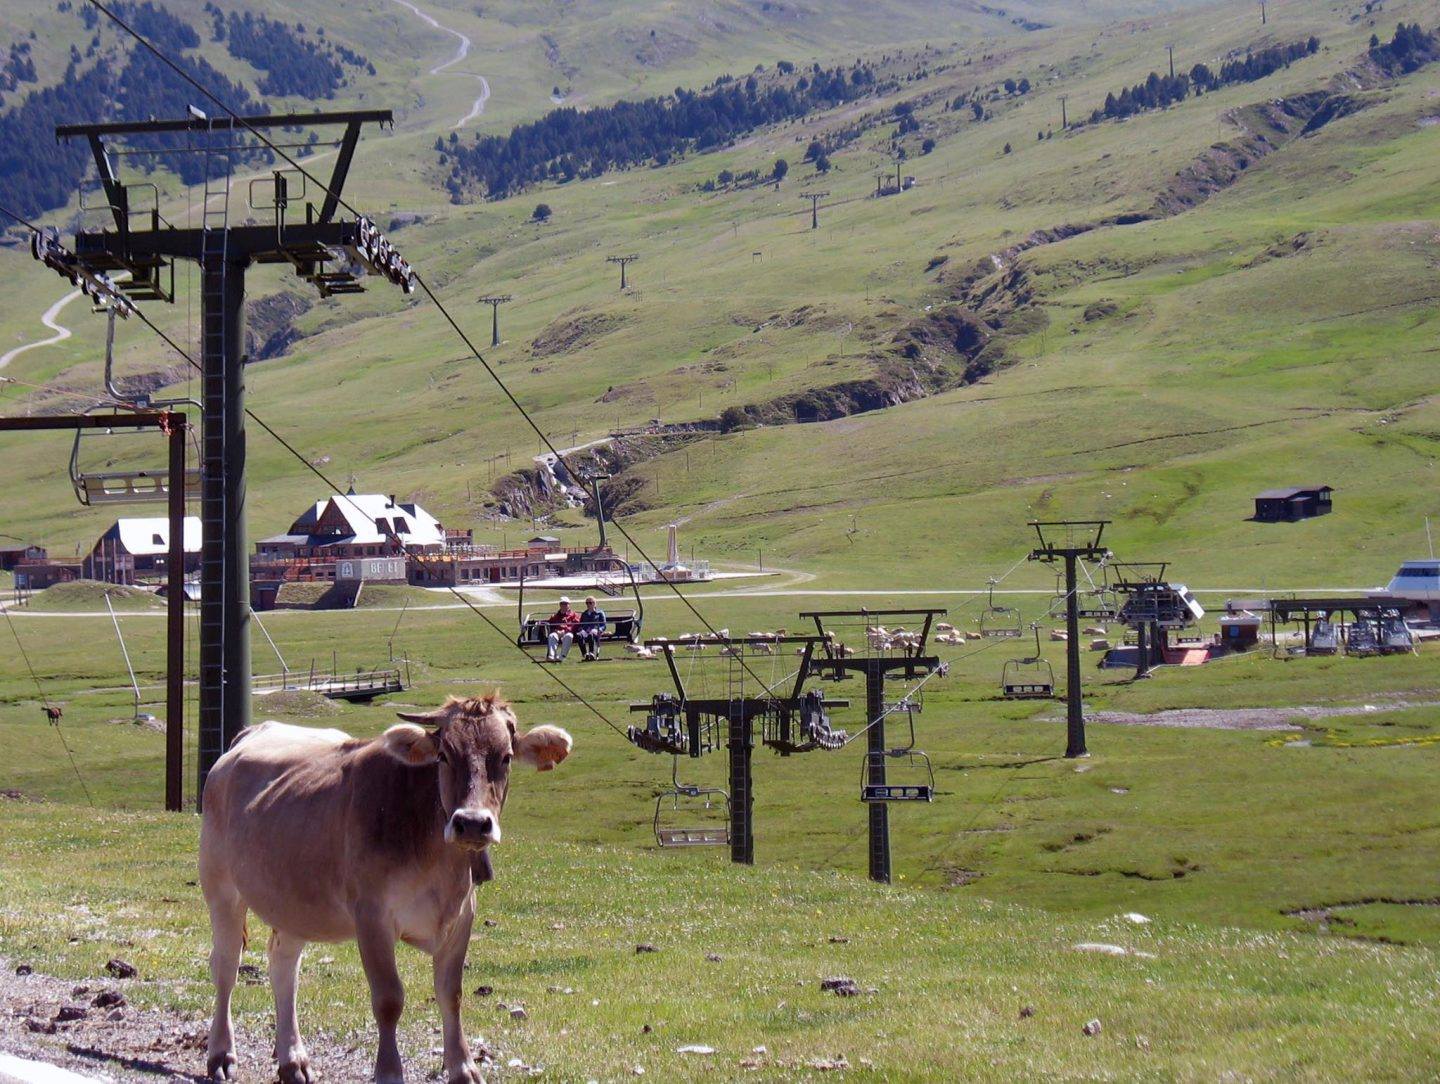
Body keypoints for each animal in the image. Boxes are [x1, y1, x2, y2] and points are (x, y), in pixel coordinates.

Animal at [203, 696, 573, 1076]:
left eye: (506, 757)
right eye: (444, 755)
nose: (471, 823)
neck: (437, 863)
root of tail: (251, 733)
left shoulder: (461, 917)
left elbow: (450, 994)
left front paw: (464, 1067)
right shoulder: (372, 916)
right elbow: (389, 998)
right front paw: (390, 1070)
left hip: (295, 900)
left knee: (283, 966)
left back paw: (293, 1059)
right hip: (220, 886)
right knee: (226, 966)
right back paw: (221, 1054)